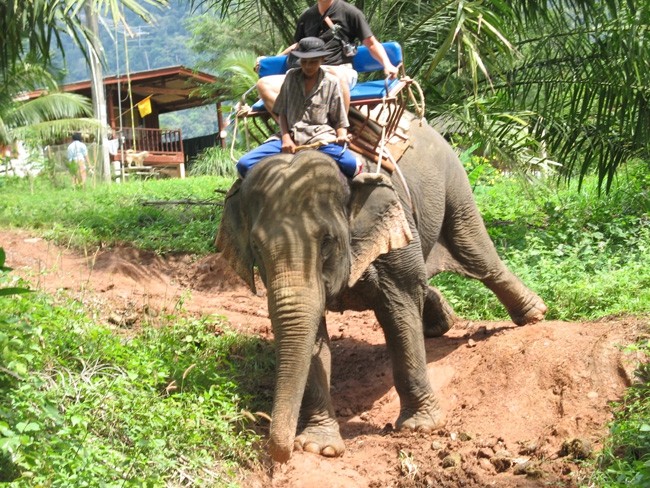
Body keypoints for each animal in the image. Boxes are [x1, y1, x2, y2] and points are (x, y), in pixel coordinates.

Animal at [215, 112, 544, 464]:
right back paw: (442, 322)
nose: (279, 453)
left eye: (327, 241)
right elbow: (313, 334)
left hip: (453, 179)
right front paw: (319, 447)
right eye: (256, 247)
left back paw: (534, 313)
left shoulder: (394, 220)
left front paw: (421, 427)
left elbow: (399, 308)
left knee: (473, 248)